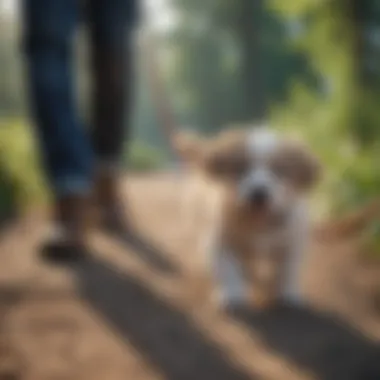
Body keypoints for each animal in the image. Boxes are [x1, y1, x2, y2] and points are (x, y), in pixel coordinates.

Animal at [190, 126, 320, 310]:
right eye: (241, 168)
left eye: (279, 170)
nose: (258, 193)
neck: (259, 223)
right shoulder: (221, 242)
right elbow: (228, 269)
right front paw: (232, 293)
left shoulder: (292, 244)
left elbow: (288, 270)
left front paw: (288, 293)